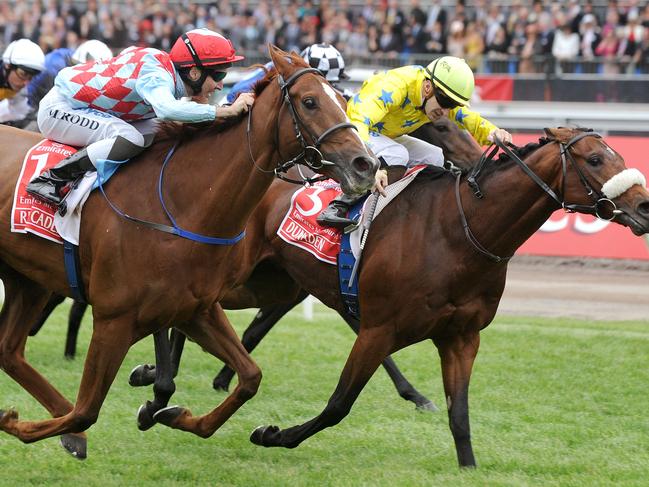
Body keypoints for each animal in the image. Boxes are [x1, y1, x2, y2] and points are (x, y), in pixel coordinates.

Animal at [0, 43, 378, 460]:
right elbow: (86, 410)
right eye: (310, 101)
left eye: (343, 99)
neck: (178, 205)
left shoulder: (196, 309)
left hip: (26, 279)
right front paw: (15, 424)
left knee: (8, 351)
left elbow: (250, 377)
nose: (366, 164)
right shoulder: (114, 318)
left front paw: (170, 413)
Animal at [137, 127, 648, 468]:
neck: (459, 232)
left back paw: (157, 379)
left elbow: (459, 414)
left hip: (273, 281)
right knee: (182, 306)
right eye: (595, 159)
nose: (643, 205)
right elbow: (338, 405)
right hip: (236, 273)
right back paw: (158, 380)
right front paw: (271, 434)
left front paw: (467, 467)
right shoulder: (378, 328)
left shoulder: (462, 337)